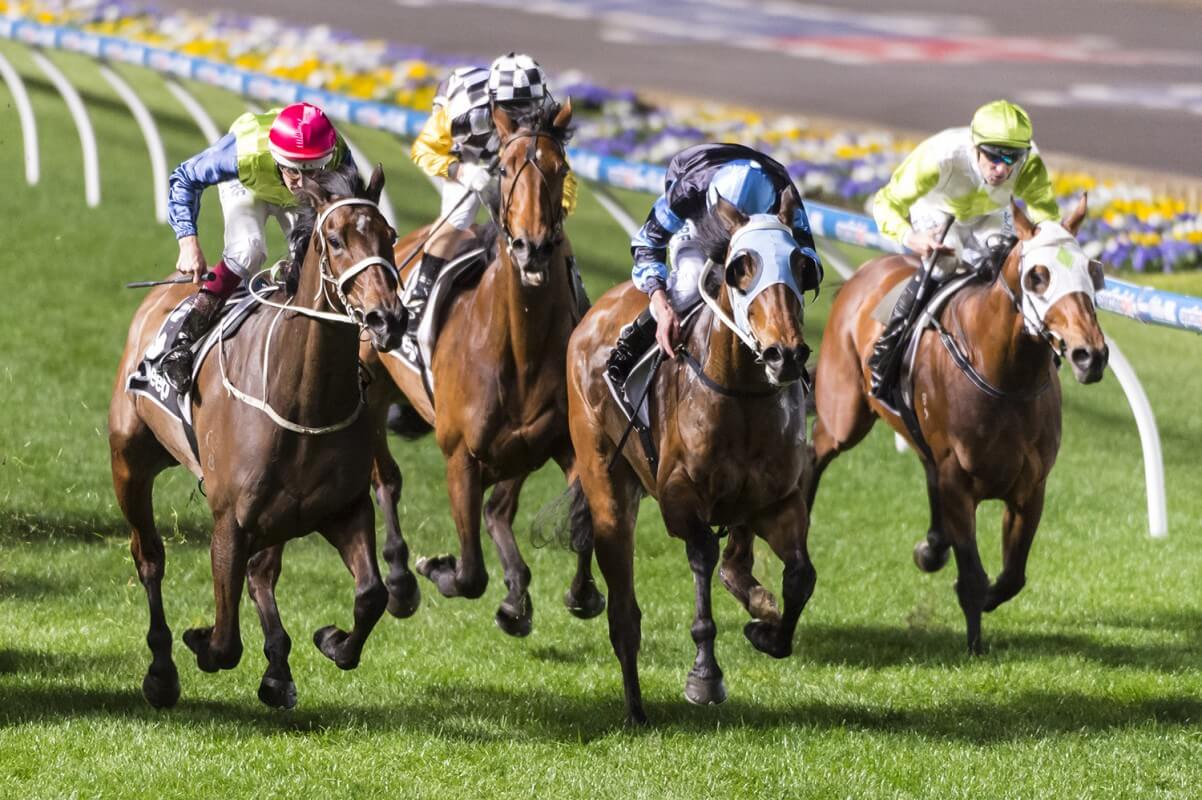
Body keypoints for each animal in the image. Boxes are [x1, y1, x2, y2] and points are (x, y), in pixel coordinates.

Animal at [106, 166, 403, 706]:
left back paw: (278, 669)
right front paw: (198, 641)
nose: (387, 318)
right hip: (129, 464)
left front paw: (331, 641)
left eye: (389, 236)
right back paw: (161, 670)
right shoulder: (231, 520)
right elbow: (224, 641)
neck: (304, 398)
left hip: (279, 515)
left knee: (262, 573)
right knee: (150, 559)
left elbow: (372, 594)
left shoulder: (342, 509)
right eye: (335, 239)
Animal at [365, 99, 605, 634]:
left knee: (497, 508)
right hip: (368, 388)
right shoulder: (460, 457)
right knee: (385, 478)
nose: (532, 247)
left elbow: (582, 525)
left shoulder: (556, 443)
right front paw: (436, 567)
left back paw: (515, 593)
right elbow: (470, 572)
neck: (520, 348)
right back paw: (400, 580)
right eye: (506, 168)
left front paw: (577, 593)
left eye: (561, 169)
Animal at [564, 194, 812, 720]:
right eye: (742, 267)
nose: (785, 355)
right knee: (623, 608)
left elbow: (801, 576)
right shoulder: (680, 499)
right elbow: (701, 557)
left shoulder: (778, 502)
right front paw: (705, 675)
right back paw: (635, 707)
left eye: (802, 265)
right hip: (606, 477)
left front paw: (766, 630)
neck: (741, 396)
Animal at [807, 194, 1105, 653]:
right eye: (1038, 276)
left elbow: (1012, 576)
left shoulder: (1030, 488)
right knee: (814, 453)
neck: (1005, 377)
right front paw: (975, 645)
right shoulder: (958, 482)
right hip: (843, 415)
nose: (1091, 355)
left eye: (1092, 271)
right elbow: (973, 576)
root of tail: (864, 272)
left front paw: (970, 582)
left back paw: (932, 545)